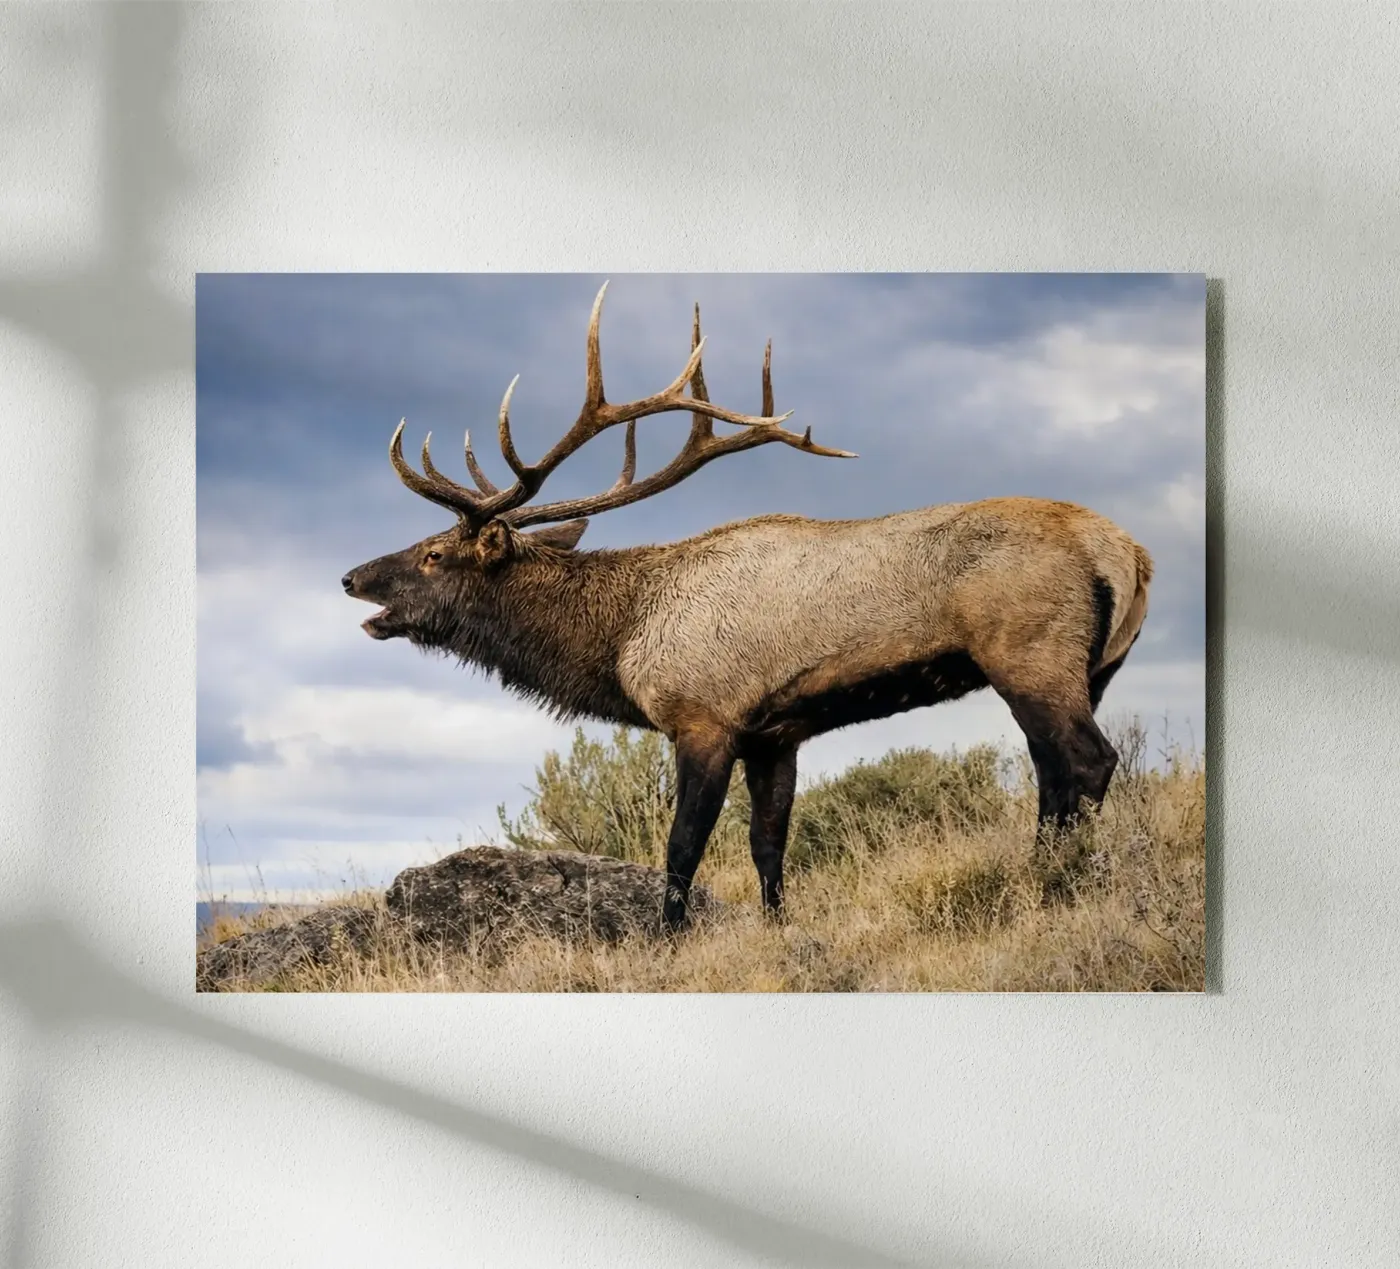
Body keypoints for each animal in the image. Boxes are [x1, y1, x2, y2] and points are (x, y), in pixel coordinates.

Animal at [342, 282, 1154, 932]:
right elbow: (769, 844)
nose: (352, 577)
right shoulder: (776, 734)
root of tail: (1130, 555)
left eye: (434, 554)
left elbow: (683, 846)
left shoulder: (705, 716)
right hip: (1095, 669)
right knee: (1054, 774)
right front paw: (775, 927)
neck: (622, 640)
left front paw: (664, 939)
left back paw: (1057, 885)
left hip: (1030, 653)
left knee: (1087, 762)